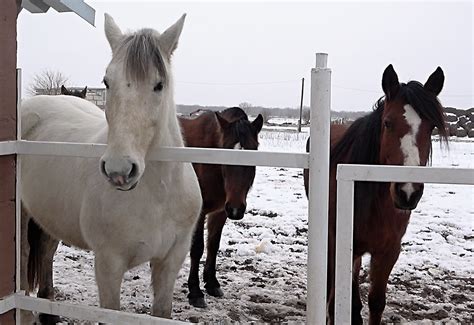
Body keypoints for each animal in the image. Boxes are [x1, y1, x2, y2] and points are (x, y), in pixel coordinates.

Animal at [19, 12, 202, 322]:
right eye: (106, 82)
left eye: (159, 85)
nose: (119, 170)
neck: (158, 195)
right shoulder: (108, 265)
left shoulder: (170, 261)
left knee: (44, 252)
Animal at [180, 107, 264, 308]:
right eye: (225, 155)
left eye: (253, 153)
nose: (236, 209)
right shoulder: (201, 212)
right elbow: (197, 248)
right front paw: (195, 292)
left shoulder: (220, 212)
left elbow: (213, 245)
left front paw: (212, 283)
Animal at [304, 64, 448, 322]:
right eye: (388, 123)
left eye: (431, 127)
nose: (407, 192)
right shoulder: (336, 243)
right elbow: (334, 300)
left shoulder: (389, 251)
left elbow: (377, 302)